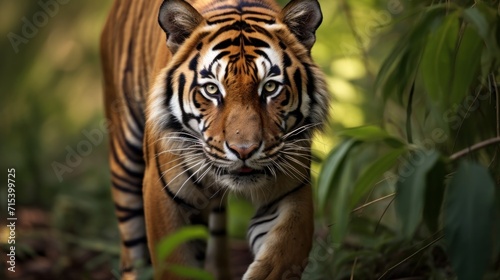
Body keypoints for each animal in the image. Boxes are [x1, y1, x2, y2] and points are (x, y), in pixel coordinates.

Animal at [99, 0, 330, 278]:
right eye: (211, 89)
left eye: (270, 87)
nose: (244, 151)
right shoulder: (162, 194)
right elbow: (175, 264)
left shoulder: (291, 190)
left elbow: (285, 250)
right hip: (124, 163)